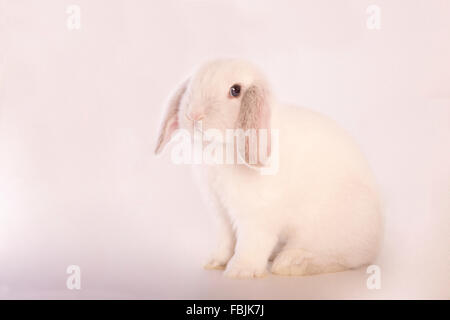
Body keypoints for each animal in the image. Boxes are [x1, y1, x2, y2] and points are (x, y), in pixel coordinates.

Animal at [155, 59, 384, 278]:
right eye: (192, 85)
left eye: (235, 90)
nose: (193, 115)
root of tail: (376, 238)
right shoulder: (221, 213)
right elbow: (226, 241)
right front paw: (215, 262)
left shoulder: (255, 218)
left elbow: (251, 244)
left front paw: (240, 271)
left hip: (323, 231)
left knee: (340, 258)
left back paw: (291, 263)